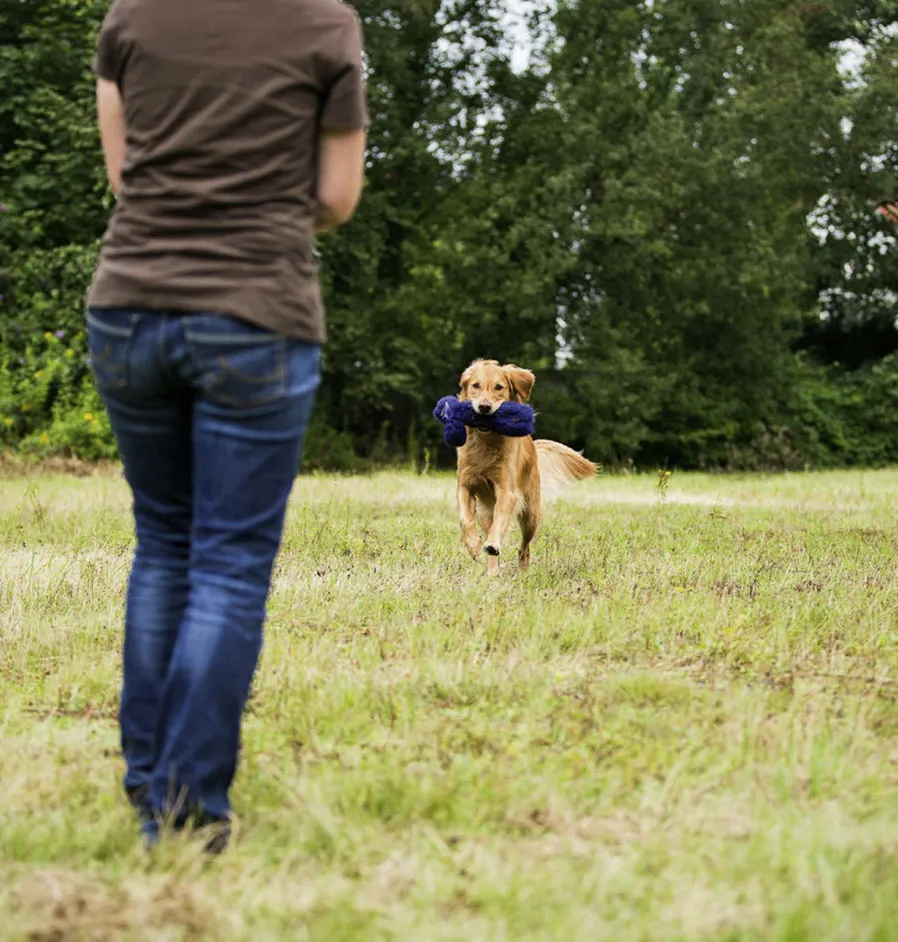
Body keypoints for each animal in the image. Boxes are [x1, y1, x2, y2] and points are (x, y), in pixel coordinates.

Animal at [454, 359, 597, 571]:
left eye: (499, 387)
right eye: (475, 386)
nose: (484, 407)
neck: (487, 441)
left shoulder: (507, 490)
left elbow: (501, 518)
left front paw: (492, 544)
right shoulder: (465, 483)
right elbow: (464, 518)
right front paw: (473, 545)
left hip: (530, 514)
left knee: (524, 547)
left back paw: (521, 569)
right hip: (485, 512)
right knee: (489, 530)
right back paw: (492, 570)